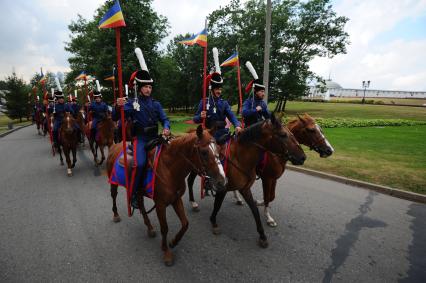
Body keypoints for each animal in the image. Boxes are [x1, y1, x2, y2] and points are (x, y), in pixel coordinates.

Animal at [105, 126, 226, 266]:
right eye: (204, 152)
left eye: (218, 149)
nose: (222, 181)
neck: (170, 170)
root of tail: (115, 145)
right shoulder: (160, 204)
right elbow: (164, 228)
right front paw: (166, 251)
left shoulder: (176, 199)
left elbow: (185, 223)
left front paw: (173, 242)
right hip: (113, 182)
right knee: (114, 196)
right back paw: (116, 214)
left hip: (139, 191)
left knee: (140, 203)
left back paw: (149, 227)